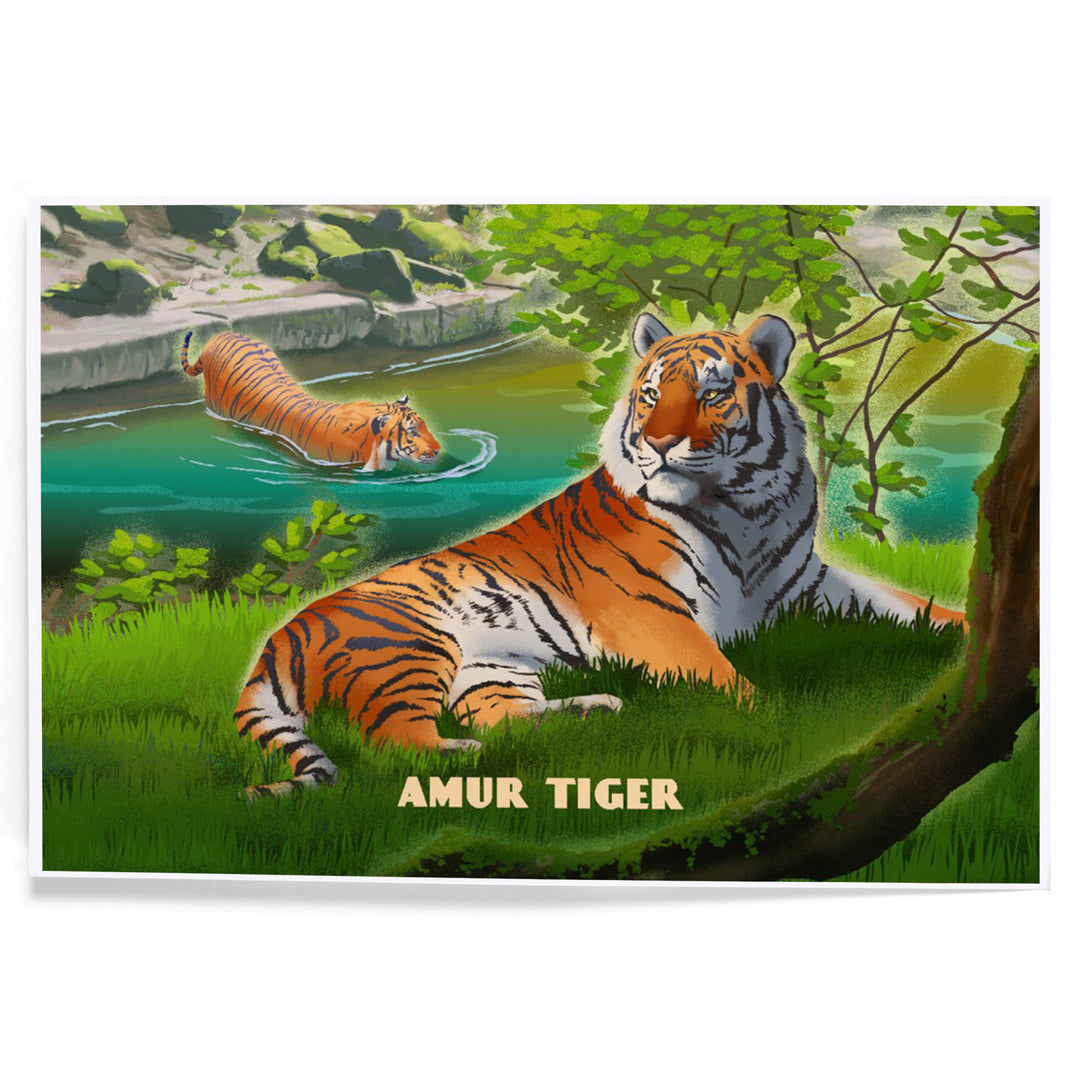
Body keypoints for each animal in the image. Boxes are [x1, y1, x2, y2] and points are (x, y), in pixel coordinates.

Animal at [233, 312, 966, 798]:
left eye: (712, 392)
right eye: (650, 394)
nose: (660, 443)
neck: (746, 507)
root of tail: (278, 636)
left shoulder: (809, 584)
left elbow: (913, 606)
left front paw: (965, 638)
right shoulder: (648, 611)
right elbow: (732, 682)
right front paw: (795, 724)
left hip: (492, 667)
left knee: (505, 721)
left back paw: (593, 713)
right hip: (407, 646)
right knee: (399, 748)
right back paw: (471, 762)